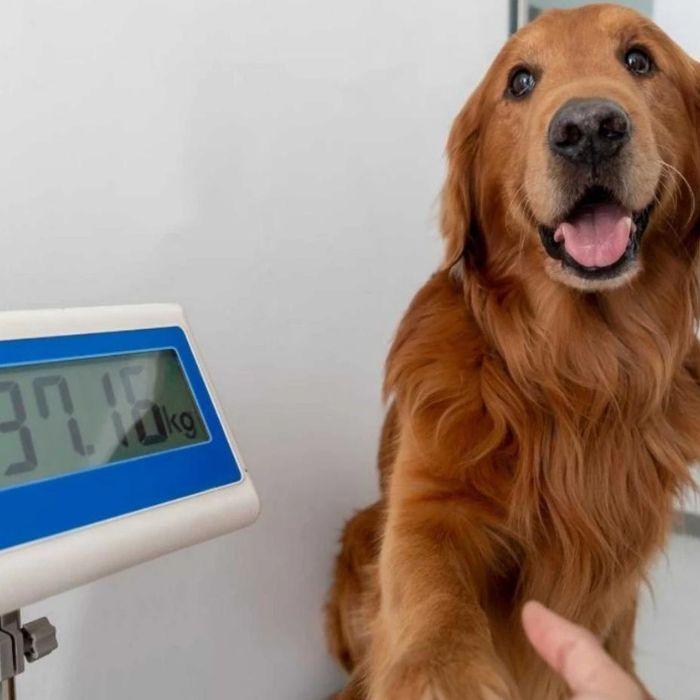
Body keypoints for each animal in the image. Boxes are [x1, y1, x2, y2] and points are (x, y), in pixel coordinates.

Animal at [326, 5, 700, 700]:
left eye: (640, 59)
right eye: (521, 80)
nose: (589, 129)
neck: (577, 371)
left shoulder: (616, 566)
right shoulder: (426, 505)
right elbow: (432, 602)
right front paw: (445, 673)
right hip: (361, 530)